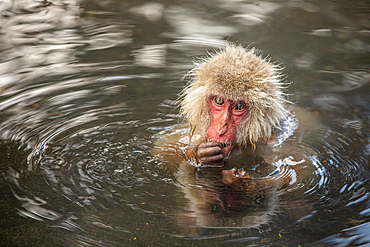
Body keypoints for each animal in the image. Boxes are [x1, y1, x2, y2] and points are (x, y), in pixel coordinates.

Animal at [154, 43, 320, 227]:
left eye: (239, 106)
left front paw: (244, 184)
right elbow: (162, 150)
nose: (222, 127)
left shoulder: (281, 149)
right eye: (219, 101)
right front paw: (198, 155)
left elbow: (299, 173)